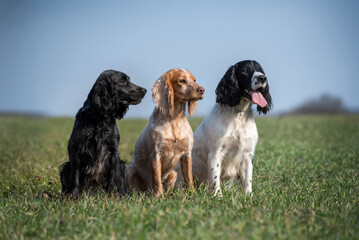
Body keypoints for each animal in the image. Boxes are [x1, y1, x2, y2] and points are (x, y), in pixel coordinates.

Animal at [59, 69, 147, 197]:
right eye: (122, 81)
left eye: (128, 80)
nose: (145, 90)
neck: (99, 118)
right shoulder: (76, 150)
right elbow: (75, 176)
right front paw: (73, 195)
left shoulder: (113, 152)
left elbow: (112, 177)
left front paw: (111, 195)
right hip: (66, 167)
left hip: (121, 165)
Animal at [176, 61, 272, 196]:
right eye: (245, 70)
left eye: (261, 70)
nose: (262, 78)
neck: (238, 114)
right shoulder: (215, 153)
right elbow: (215, 177)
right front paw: (218, 195)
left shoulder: (248, 154)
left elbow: (247, 180)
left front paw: (249, 196)